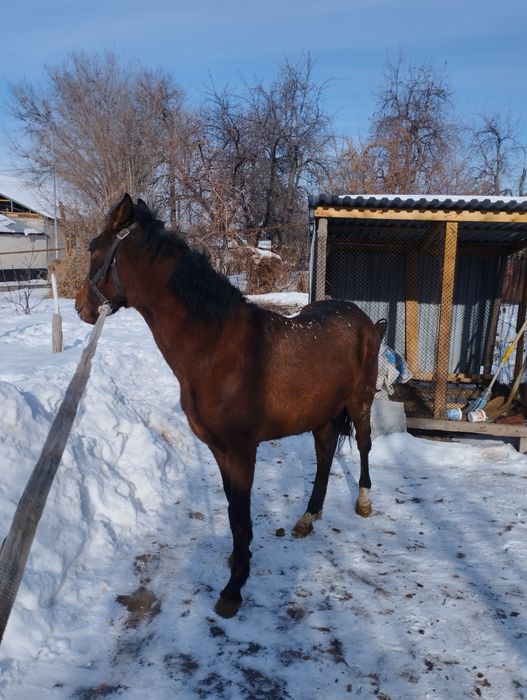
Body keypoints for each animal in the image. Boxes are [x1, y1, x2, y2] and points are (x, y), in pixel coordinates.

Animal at [75, 194, 386, 618]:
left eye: (94, 249)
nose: (80, 308)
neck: (217, 348)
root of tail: (363, 318)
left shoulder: (241, 450)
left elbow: (240, 518)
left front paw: (233, 590)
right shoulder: (220, 450)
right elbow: (231, 513)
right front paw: (238, 566)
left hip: (360, 401)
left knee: (366, 445)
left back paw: (363, 501)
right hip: (322, 413)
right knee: (324, 456)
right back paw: (308, 517)